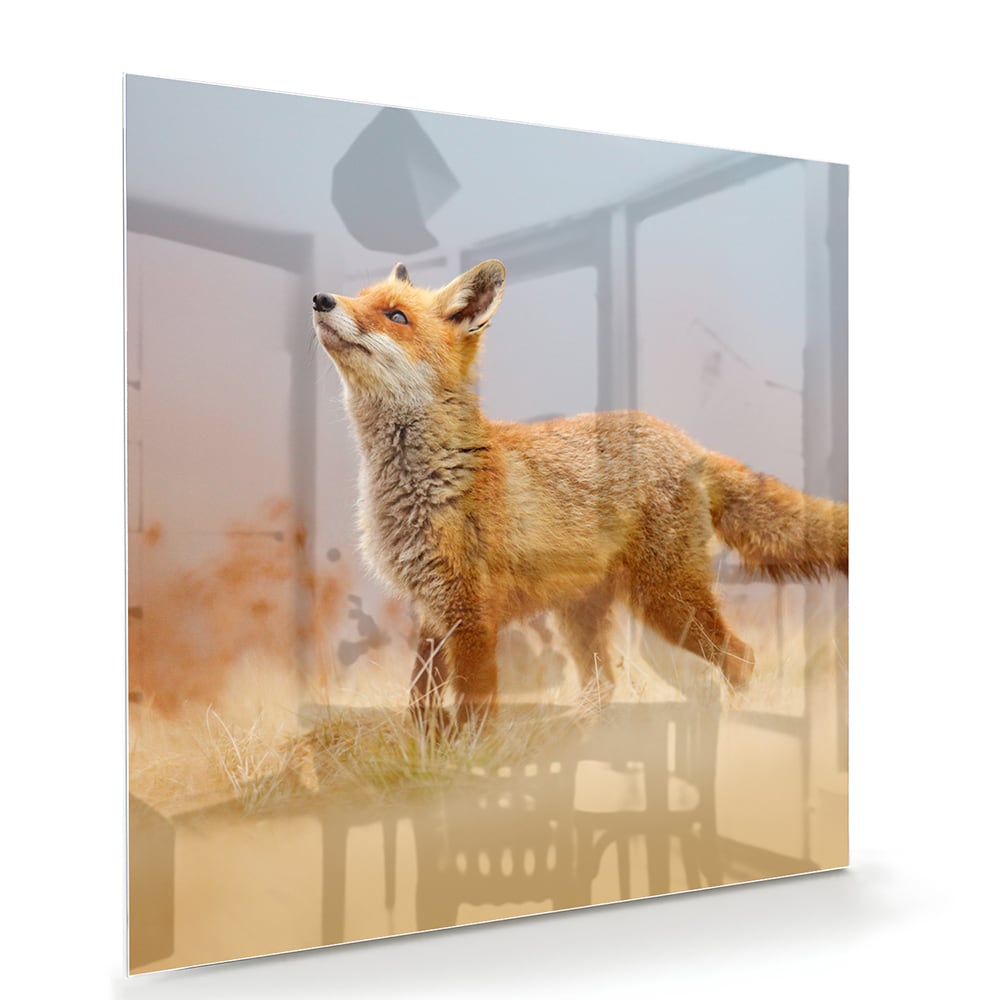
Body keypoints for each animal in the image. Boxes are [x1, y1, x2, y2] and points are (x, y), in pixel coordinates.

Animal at [312, 259, 848, 728]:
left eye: (395, 316)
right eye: (360, 297)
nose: (321, 298)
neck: (425, 483)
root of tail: (685, 441)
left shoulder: (471, 613)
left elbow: (475, 708)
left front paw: (471, 762)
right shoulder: (432, 608)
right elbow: (420, 701)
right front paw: (426, 752)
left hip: (668, 604)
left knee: (742, 658)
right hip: (584, 618)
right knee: (606, 685)